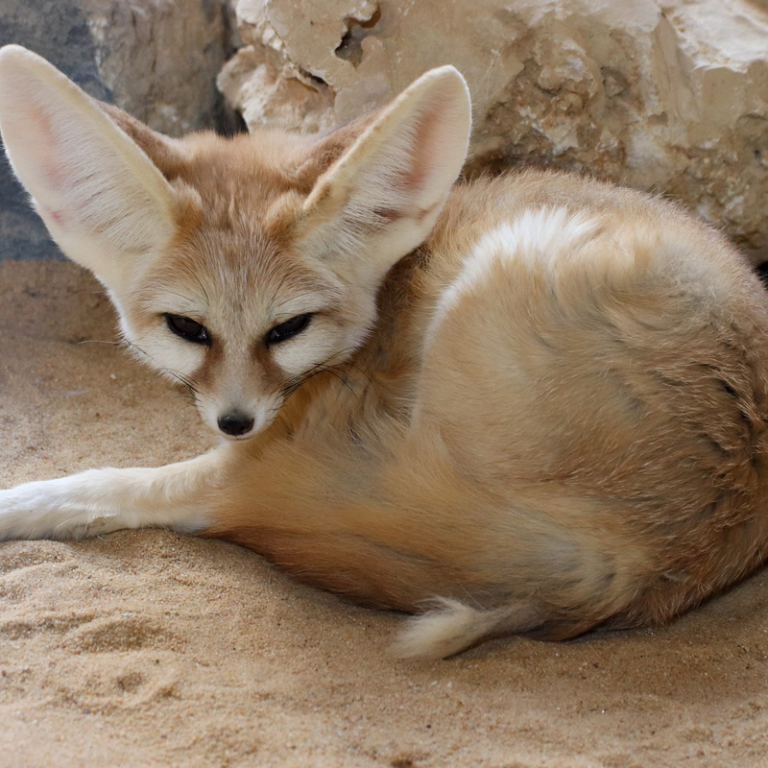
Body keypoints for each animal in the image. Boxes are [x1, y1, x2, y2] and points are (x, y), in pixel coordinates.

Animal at [1, 45, 768, 656]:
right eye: (187, 329)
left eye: (289, 329)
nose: (235, 422)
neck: (391, 282)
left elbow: (109, 485)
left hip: (497, 271)